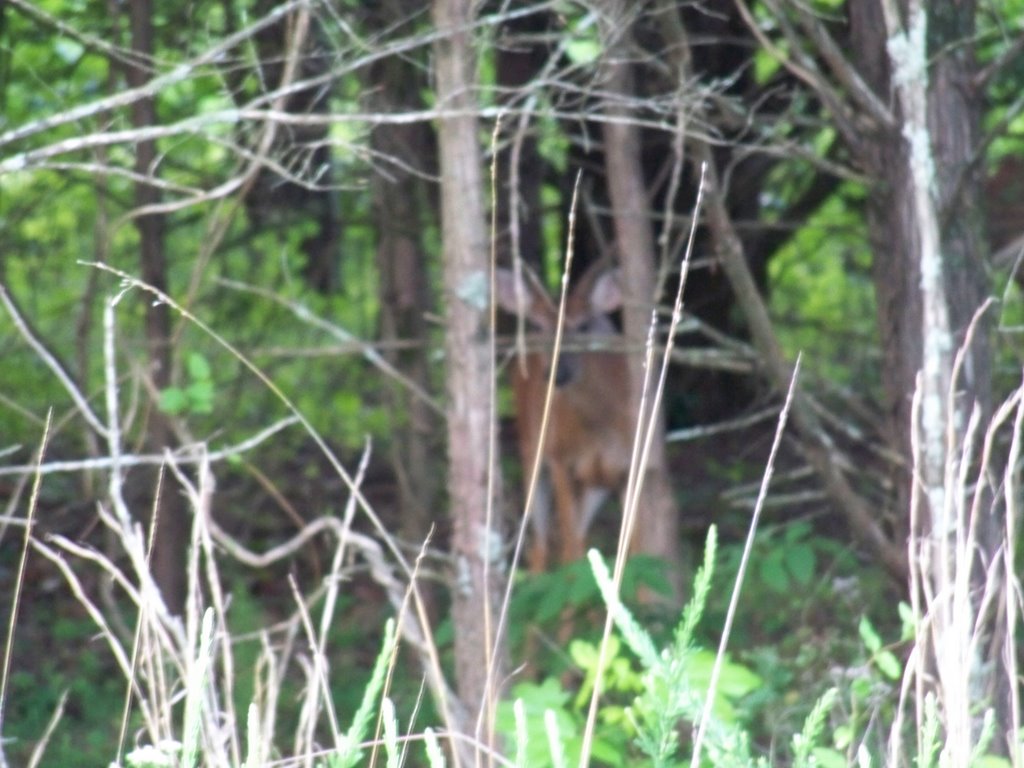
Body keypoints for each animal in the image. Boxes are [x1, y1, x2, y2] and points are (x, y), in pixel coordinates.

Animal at [495, 264, 630, 573]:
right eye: (538, 325)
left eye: (583, 326)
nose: (556, 374)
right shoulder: (560, 458)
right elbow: (570, 550)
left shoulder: (630, 466)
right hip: (532, 448)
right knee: (542, 543)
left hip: (595, 484)